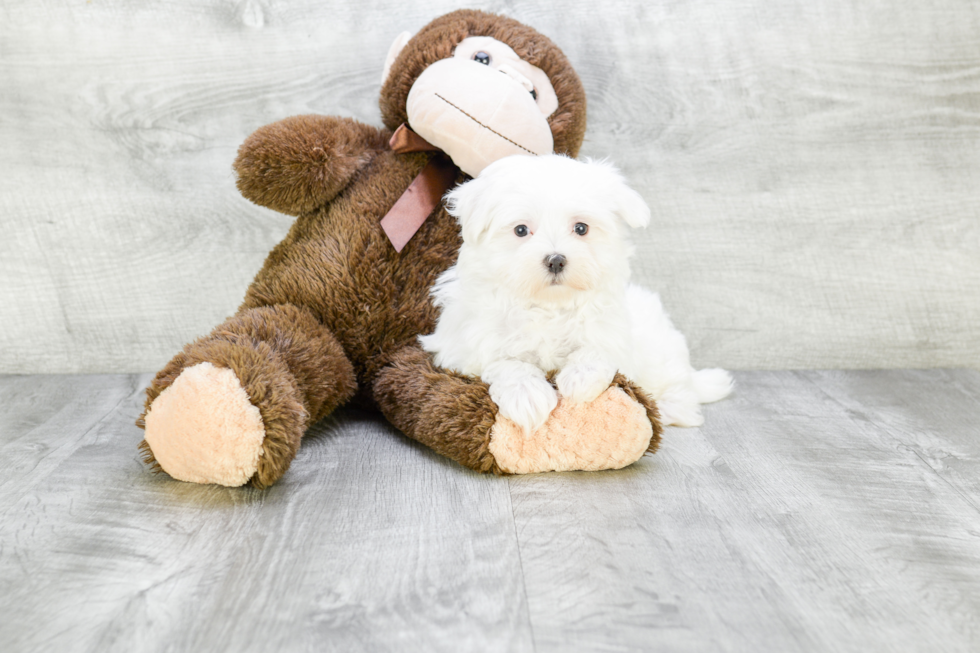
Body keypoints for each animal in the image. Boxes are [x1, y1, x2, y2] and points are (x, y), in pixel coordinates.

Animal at [418, 154, 732, 432]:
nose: (556, 260)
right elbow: (506, 363)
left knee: (680, 389)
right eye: (520, 230)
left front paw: (580, 380)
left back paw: (669, 408)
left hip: (662, 354)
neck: (548, 305)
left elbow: (598, 348)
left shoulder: (613, 332)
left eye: (581, 228)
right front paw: (527, 395)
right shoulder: (464, 348)